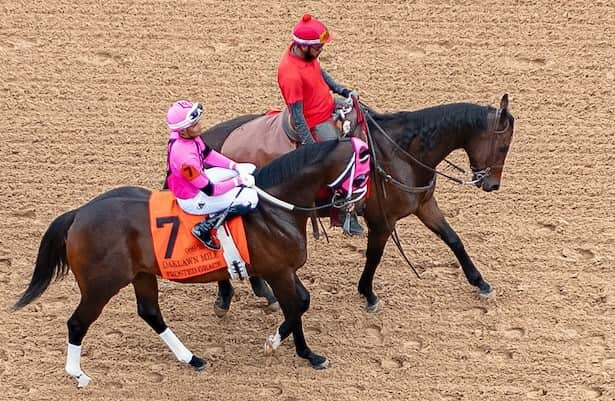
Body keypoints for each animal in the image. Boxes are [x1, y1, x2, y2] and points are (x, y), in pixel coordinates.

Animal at [14, 138, 368, 384]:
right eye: (363, 166)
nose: (358, 204)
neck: (274, 208)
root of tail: (78, 214)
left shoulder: (285, 270)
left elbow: (303, 303)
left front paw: (301, 351)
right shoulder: (278, 271)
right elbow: (294, 308)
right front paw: (285, 347)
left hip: (141, 274)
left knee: (150, 312)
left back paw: (192, 359)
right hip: (101, 285)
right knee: (77, 323)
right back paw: (78, 375)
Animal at [203, 95, 516, 310]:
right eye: (503, 146)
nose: (492, 184)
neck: (400, 152)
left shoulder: (424, 205)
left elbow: (453, 239)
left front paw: (480, 282)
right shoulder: (382, 221)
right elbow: (374, 256)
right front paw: (368, 293)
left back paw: (257, 291)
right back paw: (229, 295)